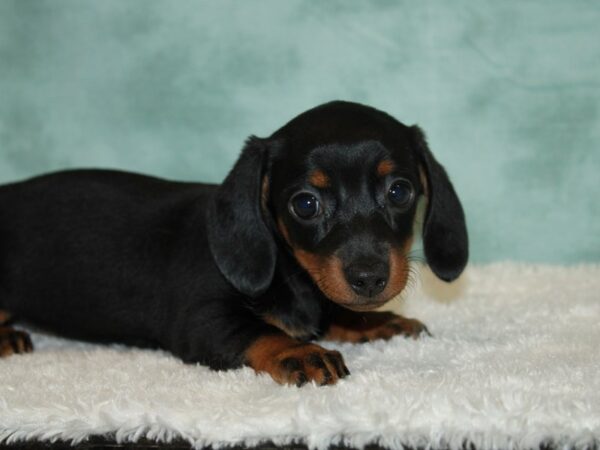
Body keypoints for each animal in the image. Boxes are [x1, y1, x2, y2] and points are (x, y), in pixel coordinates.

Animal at [0, 102, 468, 386]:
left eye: (399, 191)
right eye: (305, 203)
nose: (370, 279)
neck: (289, 270)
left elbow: (335, 313)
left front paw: (379, 322)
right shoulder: (202, 321)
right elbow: (259, 331)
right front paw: (300, 352)